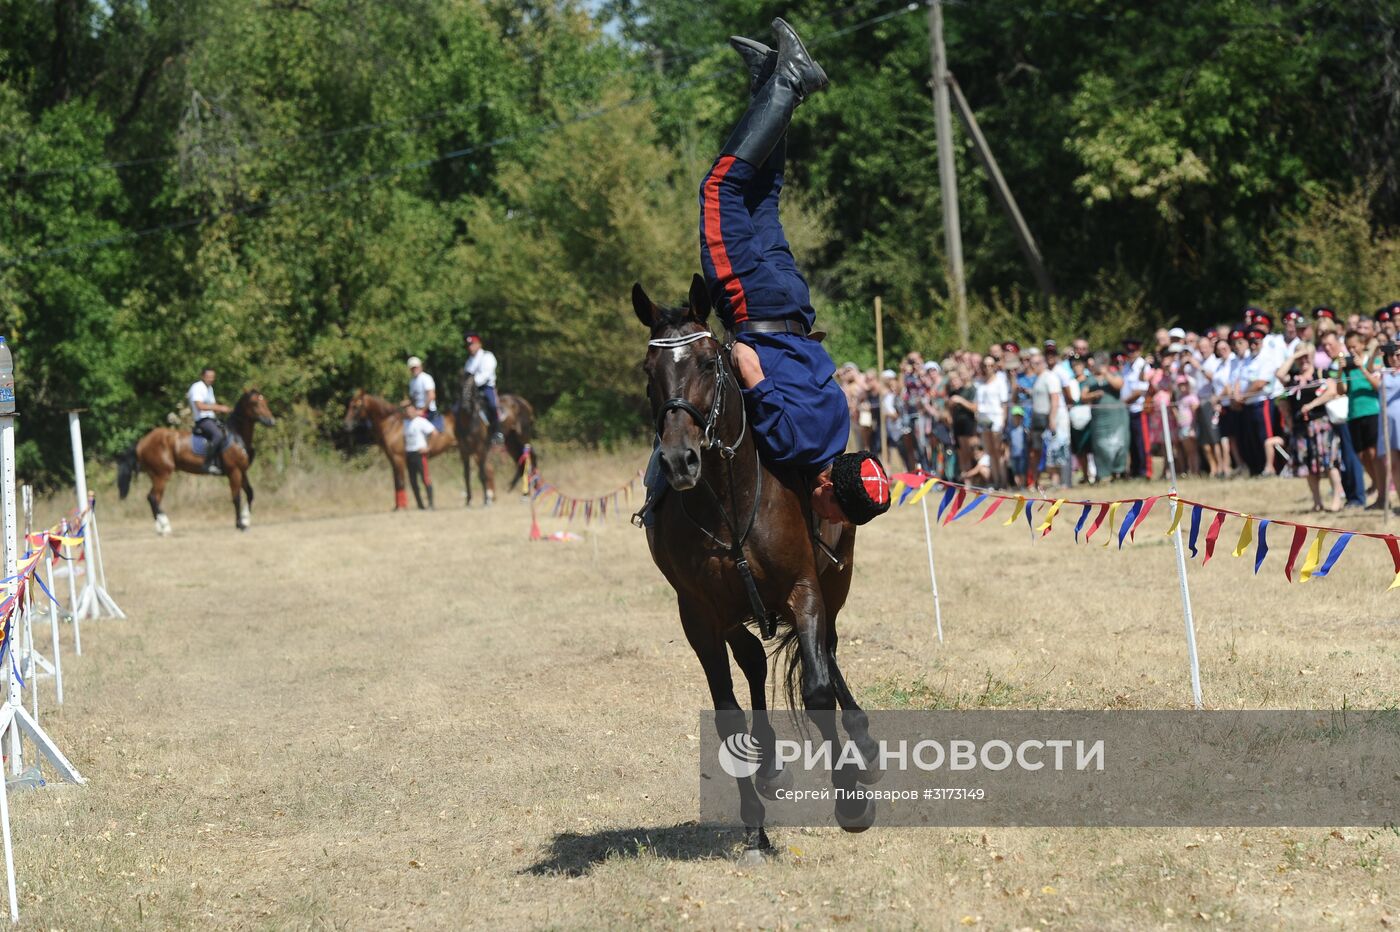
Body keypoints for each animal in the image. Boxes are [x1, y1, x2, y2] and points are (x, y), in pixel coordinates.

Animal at [118, 383, 278, 528]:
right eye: (255, 403)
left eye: (265, 401)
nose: (271, 421)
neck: (237, 436)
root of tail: (143, 441)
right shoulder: (234, 472)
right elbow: (236, 497)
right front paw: (240, 524)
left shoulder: (242, 471)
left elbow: (250, 493)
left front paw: (246, 519)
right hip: (161, 475)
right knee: (153, 498)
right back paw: (165, 527)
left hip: (155, 474)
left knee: (153, 499)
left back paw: (160, 526)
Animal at [453, 369, 534, 503]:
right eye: (459, 385)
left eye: (472, 387)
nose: (465, 406)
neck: (469, 421)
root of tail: (524, 402)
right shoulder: (463, 450)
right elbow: (466, 474)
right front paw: (469, 500)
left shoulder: (480, 449)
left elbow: (482, 474)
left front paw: (486, 500)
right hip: (511, 442)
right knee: (520, 461)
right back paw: (515, 489)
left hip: (523, 437)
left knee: (528, 459)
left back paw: (526, 494)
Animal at [635, 272, 873, 845]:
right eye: (649, 372)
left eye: (707, 363)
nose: (679, 459)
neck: (730, 500)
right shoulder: (700, 615)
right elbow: (727, 712)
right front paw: (755, 829)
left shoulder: (803, 590)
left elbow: (817, 688)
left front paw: (851, 800)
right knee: (754, 660)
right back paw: (767, 766)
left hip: (836, 579)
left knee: (827, 650)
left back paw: (860, 740)